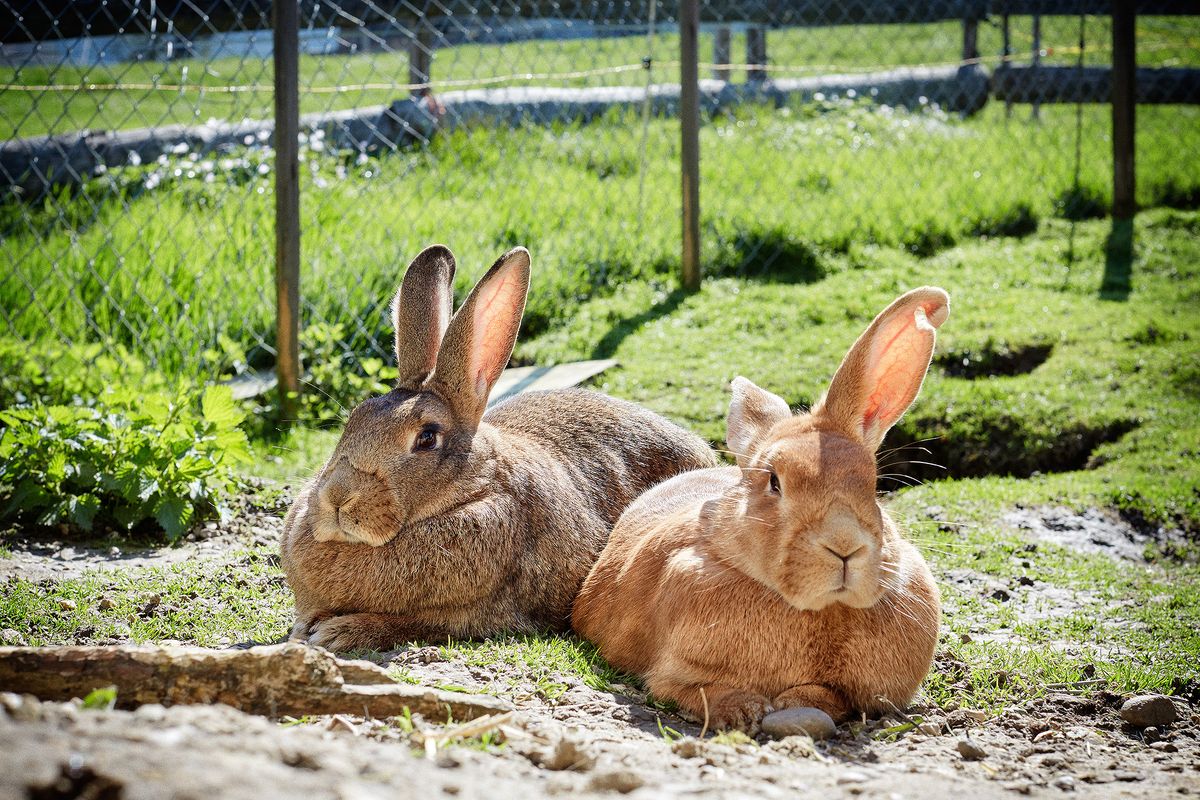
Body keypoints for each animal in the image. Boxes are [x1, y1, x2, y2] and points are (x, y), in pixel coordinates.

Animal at [279, 244, 710, 652]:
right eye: (354, 419)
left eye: (426, 438)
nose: (337, 498)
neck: (474, 488)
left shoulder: (474, 617)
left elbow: (410, 625)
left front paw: (337, 633)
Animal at [571, 287, 945, 734]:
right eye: (774, 481)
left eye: (872, 485)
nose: (844, 546)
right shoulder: (672, 672)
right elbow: (695, 691)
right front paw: (743, 711)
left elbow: (831, 696)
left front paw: (795, 702)